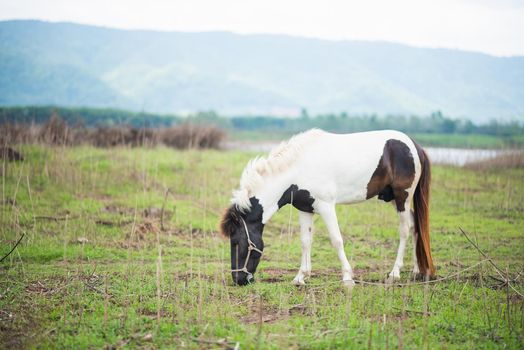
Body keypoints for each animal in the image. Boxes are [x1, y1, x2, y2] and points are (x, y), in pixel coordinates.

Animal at [218, 130, 434, 286]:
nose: (238, 280)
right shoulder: (305, 208)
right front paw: (301, 277)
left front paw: (347, 277)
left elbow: (336, 240)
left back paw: (395, 273)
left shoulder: (326, 206)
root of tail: (415, 147)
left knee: (405, 230)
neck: (299, 168)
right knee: (415, 225)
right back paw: (416, 270)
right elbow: (305, 241)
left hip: (403, 197)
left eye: (236, 242)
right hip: (394, 198)